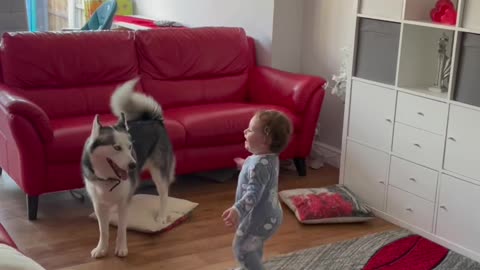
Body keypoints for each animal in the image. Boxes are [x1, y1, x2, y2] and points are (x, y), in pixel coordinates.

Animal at [81, 77, 175, 258]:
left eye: (130, 147)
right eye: (117, 147)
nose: (133, 165)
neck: (108, 179)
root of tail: (153, 120)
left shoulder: (123, 203)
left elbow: (121, 229)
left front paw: (121, 248)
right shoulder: (98, 204)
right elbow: (103, 230)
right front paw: (101, 249)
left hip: (159, 173)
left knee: (164, 194)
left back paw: (161, 216)